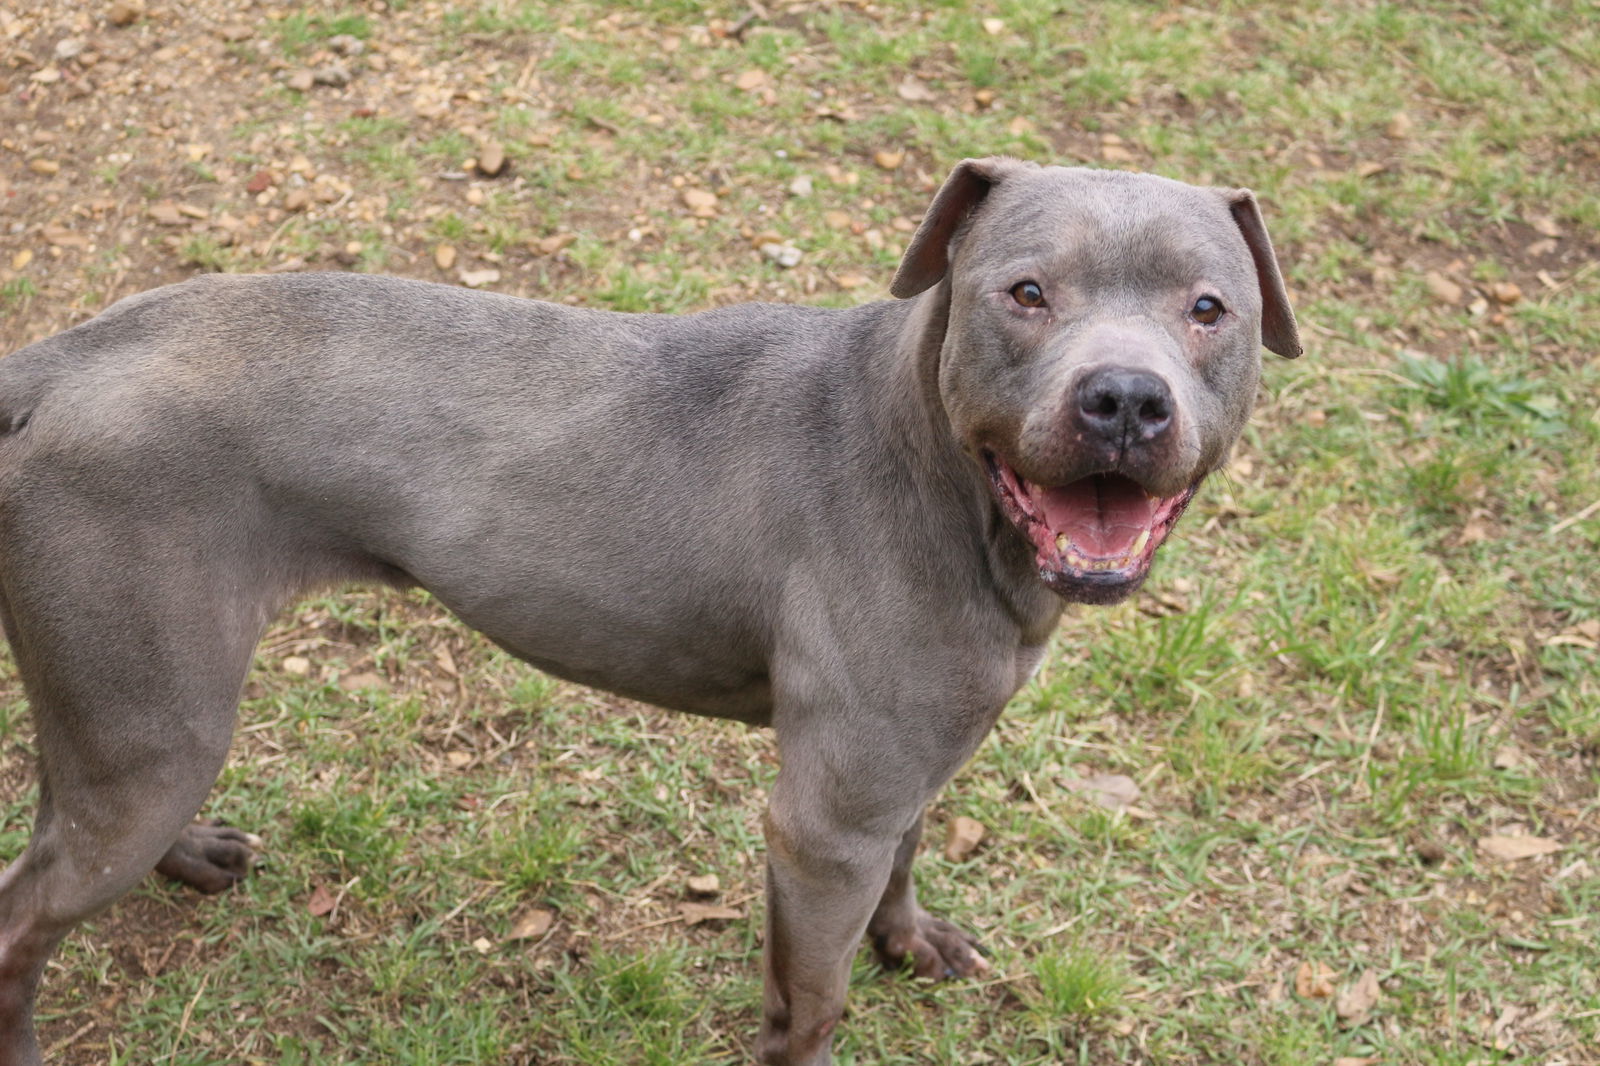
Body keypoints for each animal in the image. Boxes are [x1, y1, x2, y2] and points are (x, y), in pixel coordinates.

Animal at [0, 153, 1292, 1056]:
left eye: (1207, 309)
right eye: (1024, 293)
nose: (1122, 400)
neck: (935, 468)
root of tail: (62, 358)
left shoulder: (904, 769)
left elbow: (913, 847)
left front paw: (908, 939)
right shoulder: (822, 826)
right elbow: (809, 1006)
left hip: (124, 716)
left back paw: (190, 854)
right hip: (154, 724)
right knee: (23, 921)